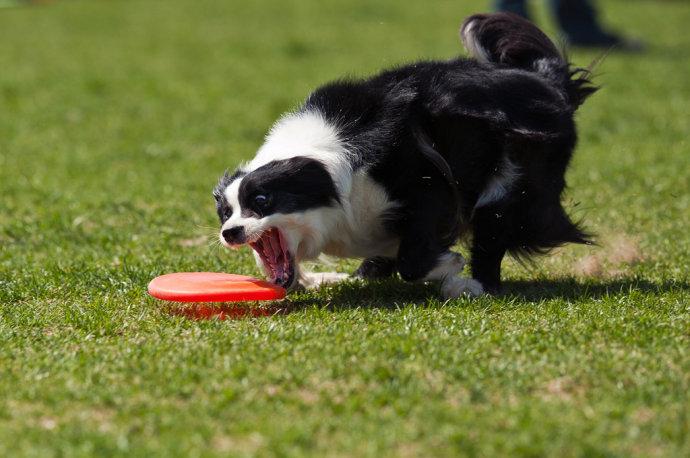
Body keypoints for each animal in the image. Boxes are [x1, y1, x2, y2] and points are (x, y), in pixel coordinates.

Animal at [212, 12, 592, 296]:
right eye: (225, 213)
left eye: (261, 201)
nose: (230, 232)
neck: (326, 166)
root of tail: (549, 82)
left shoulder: (424, 181)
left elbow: (414, 257)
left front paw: (449, 266)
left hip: (517, 176)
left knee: (495, 226)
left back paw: (478, 284)